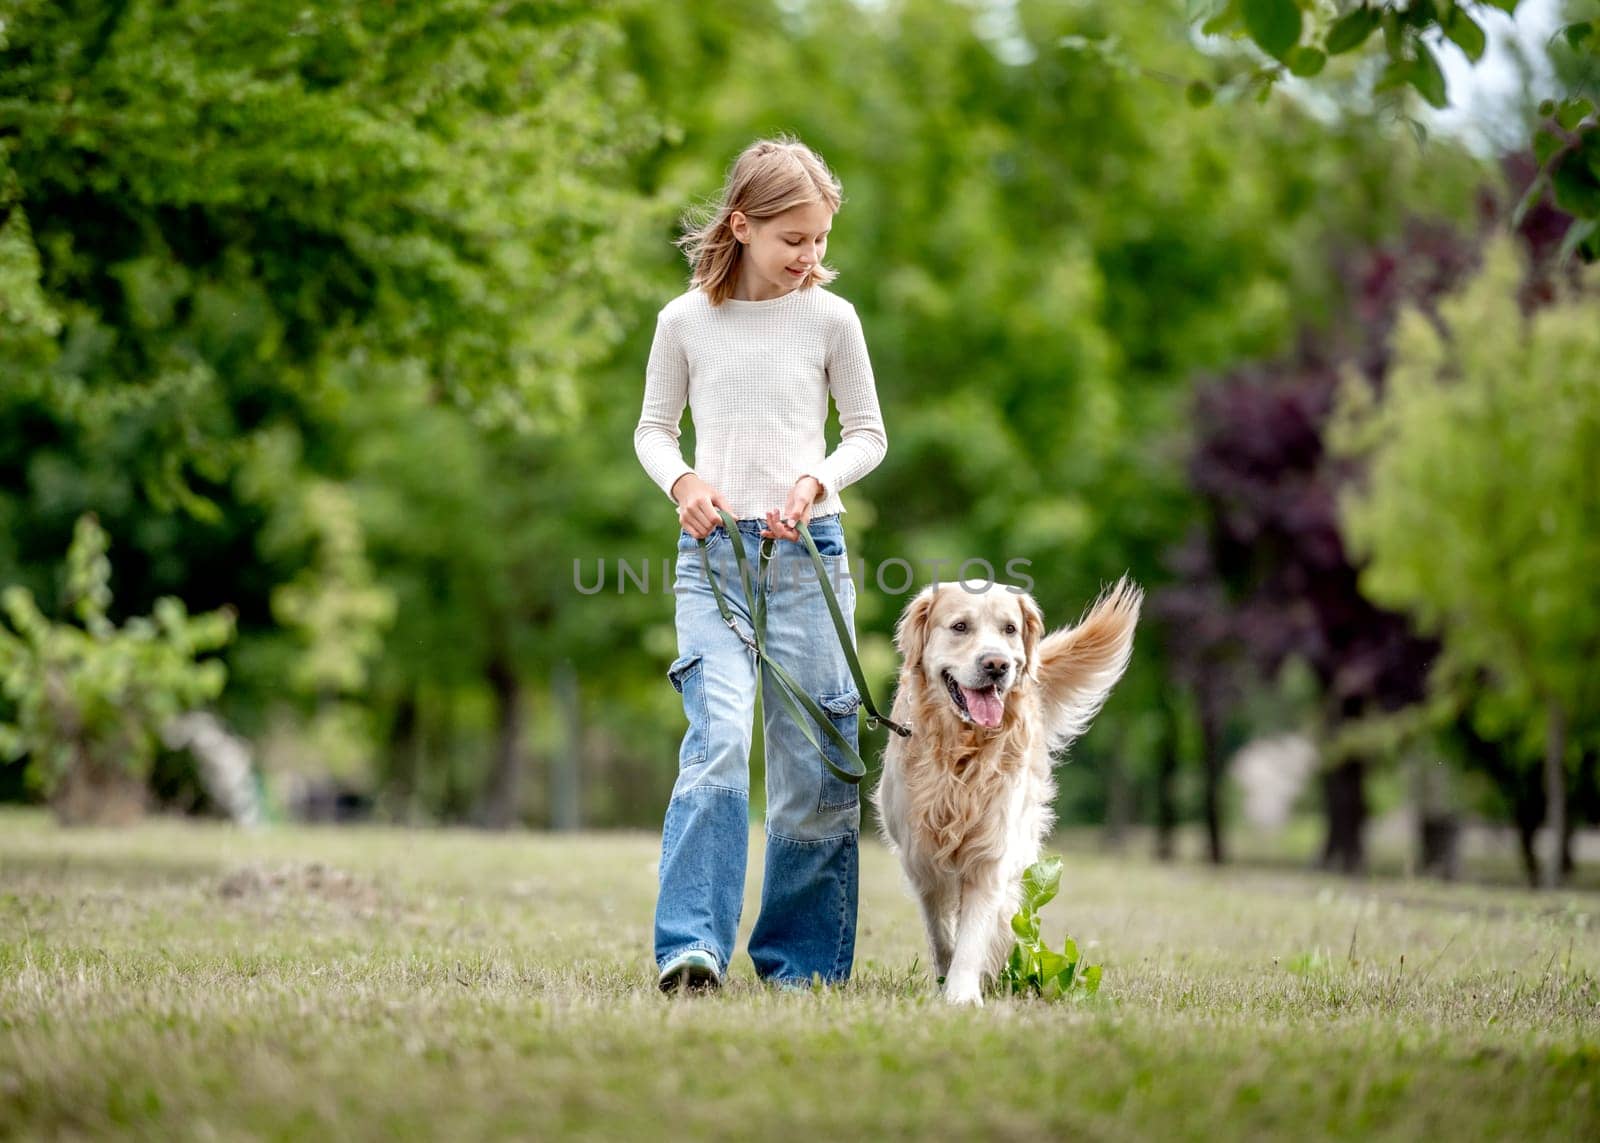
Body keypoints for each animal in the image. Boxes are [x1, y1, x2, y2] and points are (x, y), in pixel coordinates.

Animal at [870, 573, 1145, 998]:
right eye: (960, 627)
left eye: (1009, 629)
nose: (996, 664)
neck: (961, 754)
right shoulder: (922, 858)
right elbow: (941, 933)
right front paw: (947, 980)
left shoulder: (991, 850)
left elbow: (974, 932)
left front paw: (963, 994)